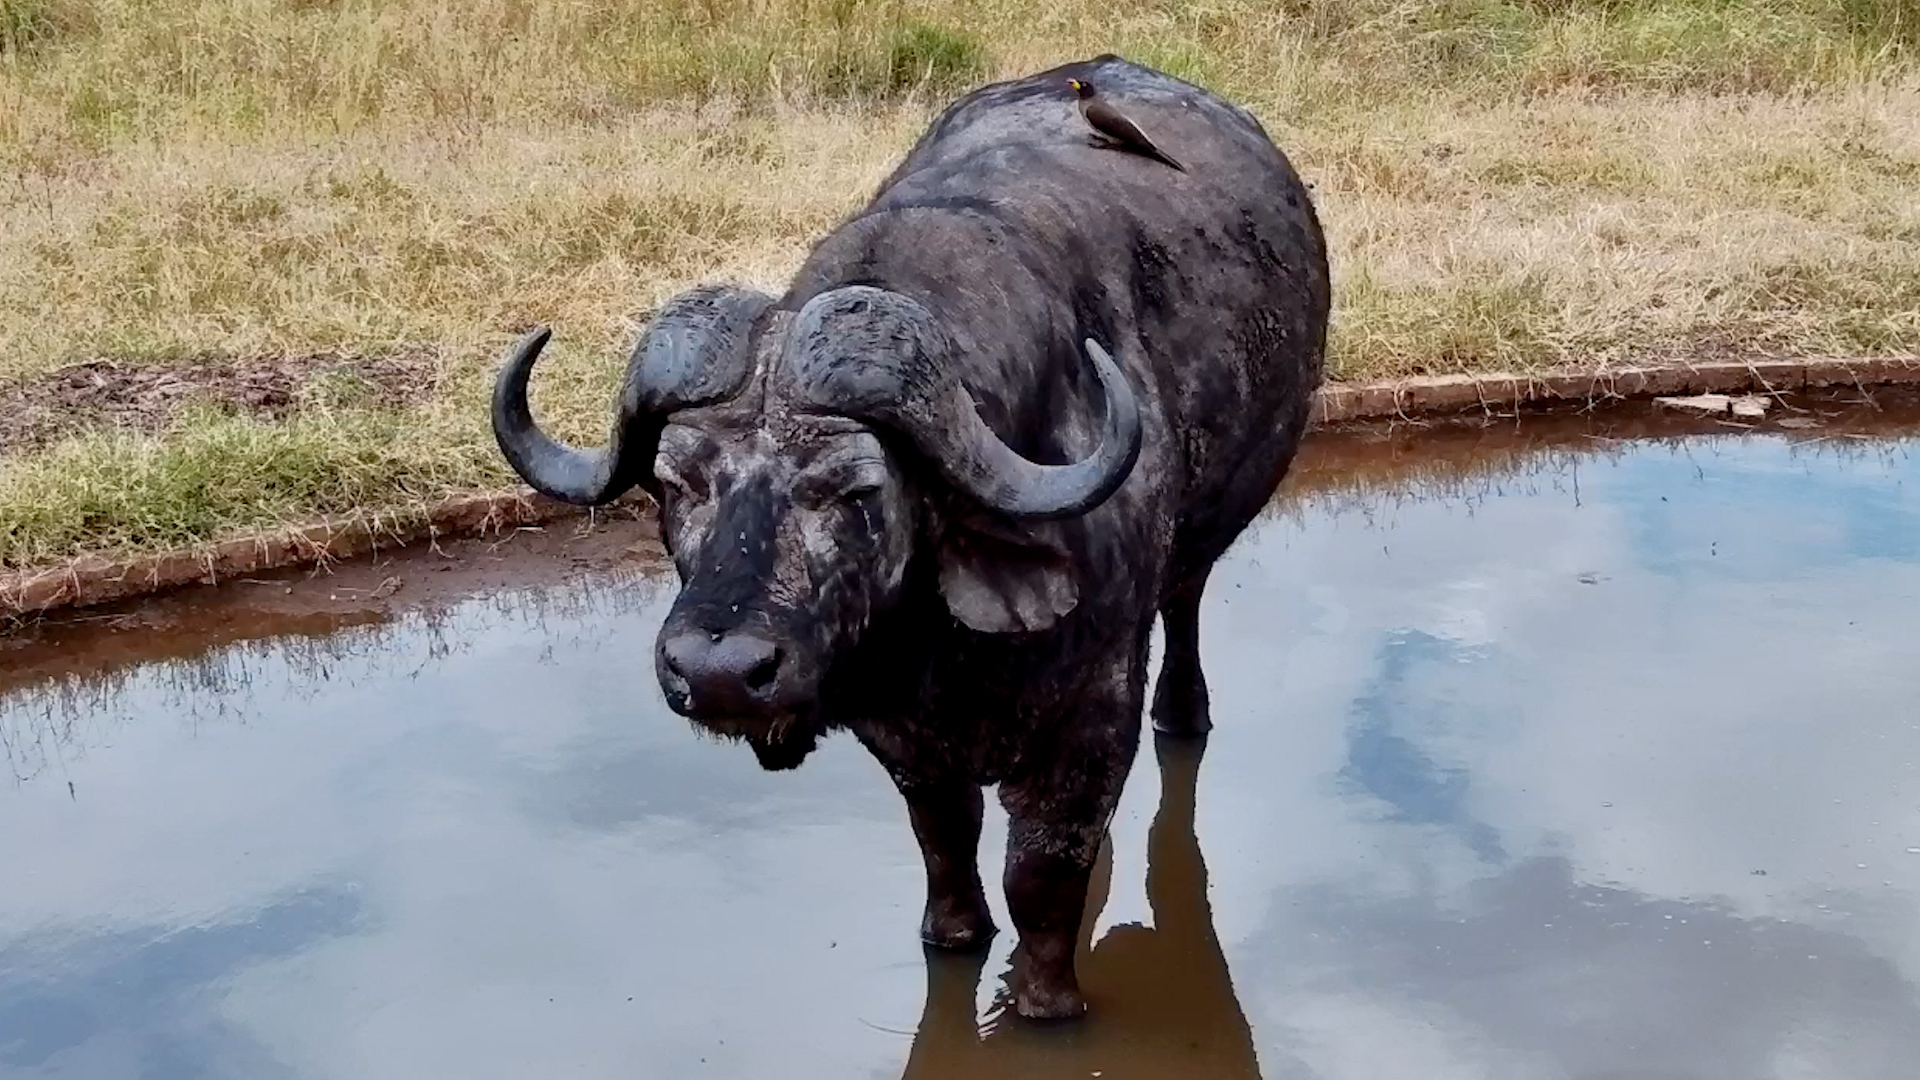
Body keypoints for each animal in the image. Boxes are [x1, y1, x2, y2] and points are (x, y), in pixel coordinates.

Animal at [490, 53, 1330, 1019]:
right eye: (676, 483)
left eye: (854, 490)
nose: (718, 670)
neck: (946, 650)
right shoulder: (898, 732)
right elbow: (944, 841)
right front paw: (953, 939)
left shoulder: (1093, 713)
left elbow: (1041, 876)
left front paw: (1043, 1004)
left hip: (1205, 544)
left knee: (1185, 609)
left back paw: (1185, 716)